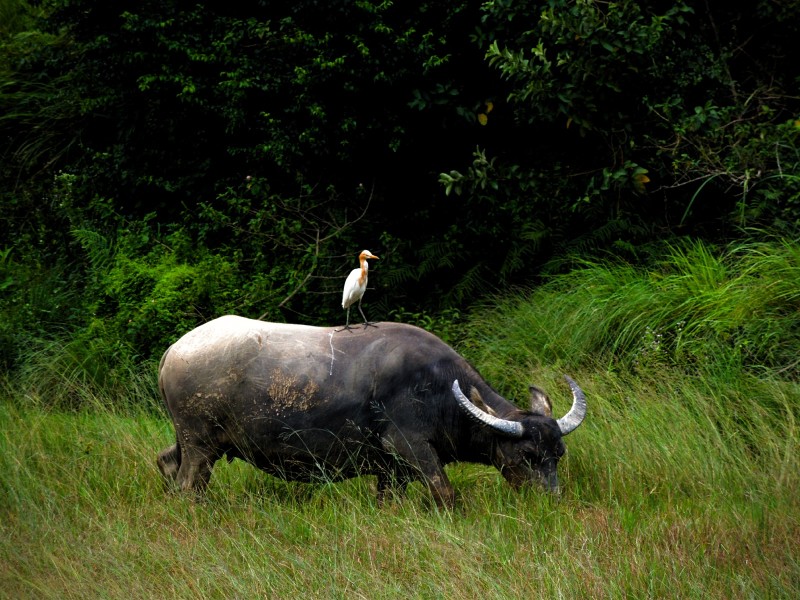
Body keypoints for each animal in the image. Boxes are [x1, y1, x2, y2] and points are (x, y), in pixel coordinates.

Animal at [156, 314, 584, 506]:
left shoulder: (389, 469)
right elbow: (445, 492)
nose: (552, 502)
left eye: (557, 454)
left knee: (166, 462)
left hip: (188, 442)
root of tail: (172, 352)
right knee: (189, 484)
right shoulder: (410, 447)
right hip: (200, 444)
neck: (439, 390)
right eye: (527, 456)